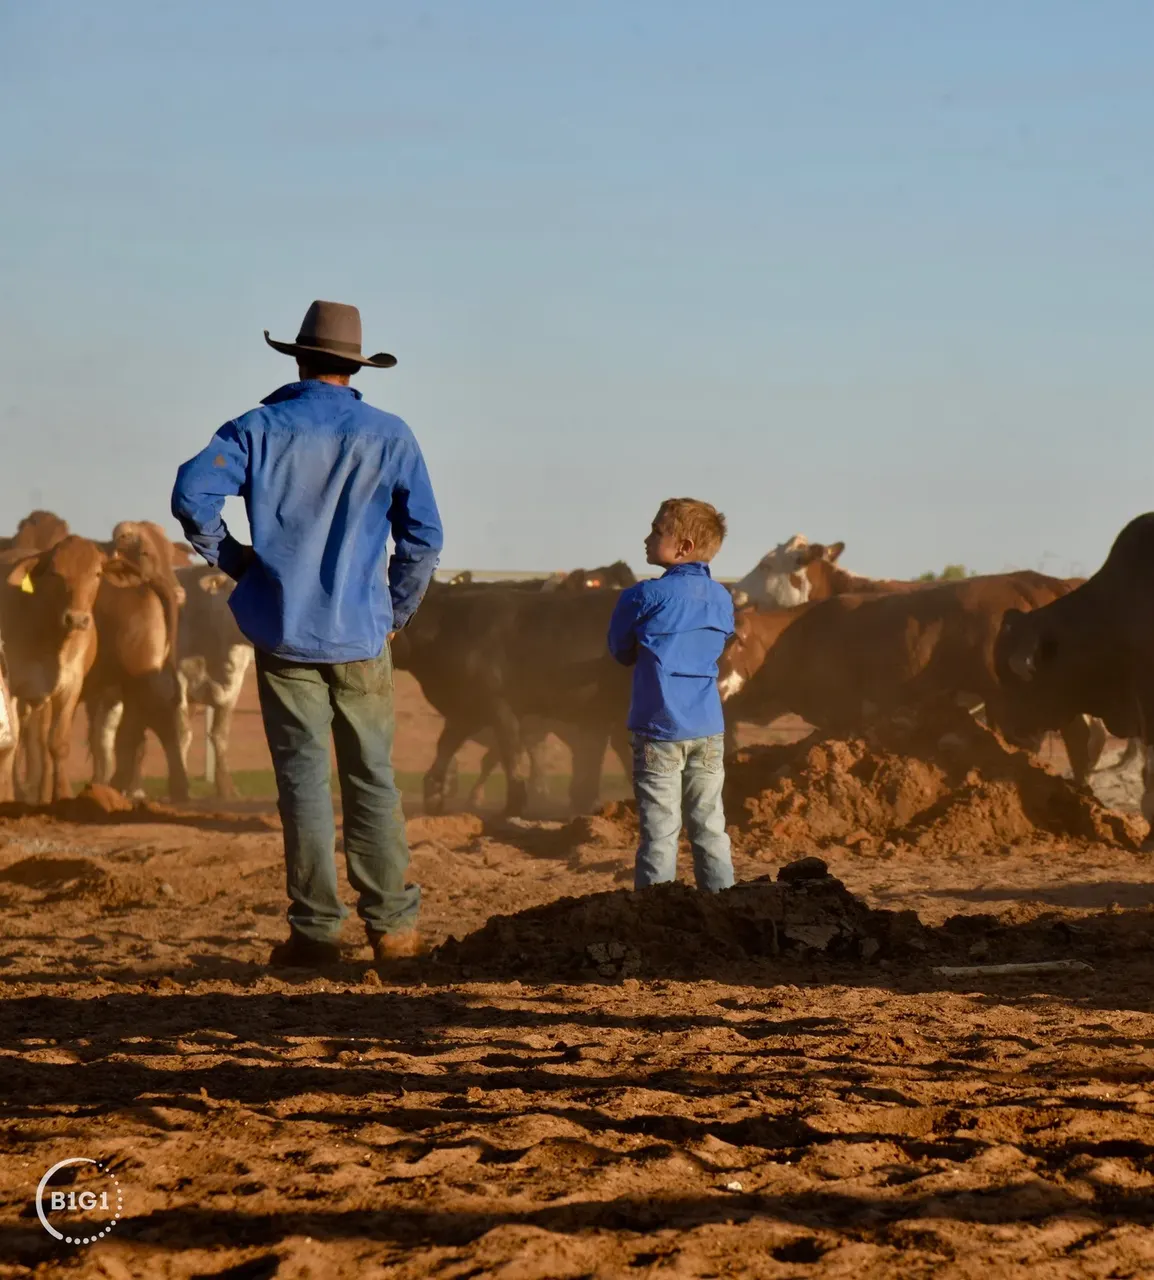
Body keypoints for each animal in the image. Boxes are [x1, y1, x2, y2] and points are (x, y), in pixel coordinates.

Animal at [0, 537, 115, 802]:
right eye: (55, 573)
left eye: (96, 573)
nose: (77, 619)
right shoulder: (11, 685)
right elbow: (11, 744)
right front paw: (6, 796)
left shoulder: (70, 687)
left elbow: (57, 743)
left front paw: (61, 794)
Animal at [391, 586, 631, 817]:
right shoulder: (466, 711)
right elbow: (445, 747)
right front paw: (434, 797)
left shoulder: (499, 707)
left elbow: (510, 752)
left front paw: (515, 804)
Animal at [718, 571, 1103, 785]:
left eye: (731, 641)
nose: (717, 686)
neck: (798, 635)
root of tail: (1040, 583)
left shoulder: (845, 712)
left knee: (1074, 737)